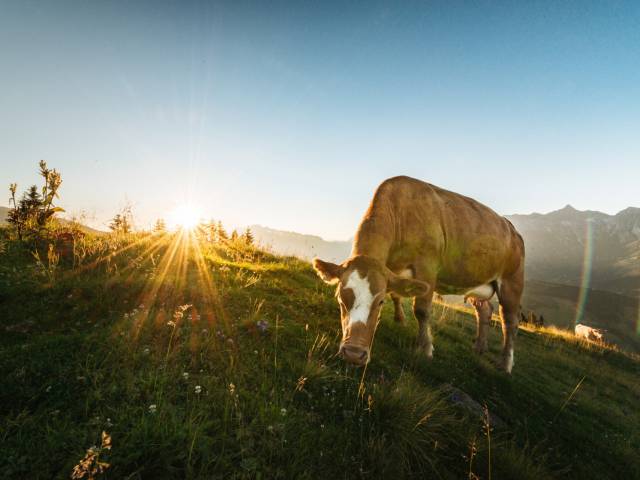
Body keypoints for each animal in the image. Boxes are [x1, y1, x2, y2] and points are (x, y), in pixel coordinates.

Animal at [312, 175, 524, 372]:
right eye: (340, 299)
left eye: (380, 302)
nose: (354, 354)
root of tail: (512, 228)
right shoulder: (391, 272)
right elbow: (396, 294)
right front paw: (400, 320)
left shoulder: (427, 266)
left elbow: (421, 310)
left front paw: (425, 348)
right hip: (477, 280)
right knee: (484, 310)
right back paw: (479, 348)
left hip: (512, 280)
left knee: (510, 321)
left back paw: (505, 364)